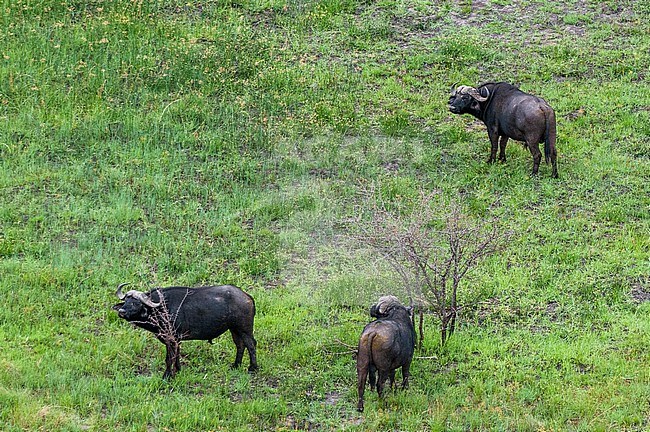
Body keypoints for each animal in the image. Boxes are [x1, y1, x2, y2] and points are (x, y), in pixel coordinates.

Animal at [112, 284, 256, 378]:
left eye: (136, 303)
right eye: (126, 301)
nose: (121, 311)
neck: (161, 309)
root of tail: (248, 297)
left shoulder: (171, 339)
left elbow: (169, 358)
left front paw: (167, 376)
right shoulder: (177, 340)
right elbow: (177, 355)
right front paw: (178, 370)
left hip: (244, 329)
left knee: (251, 345)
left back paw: (252, 368)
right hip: (234, 329)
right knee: (240, 345)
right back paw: (236, 365)